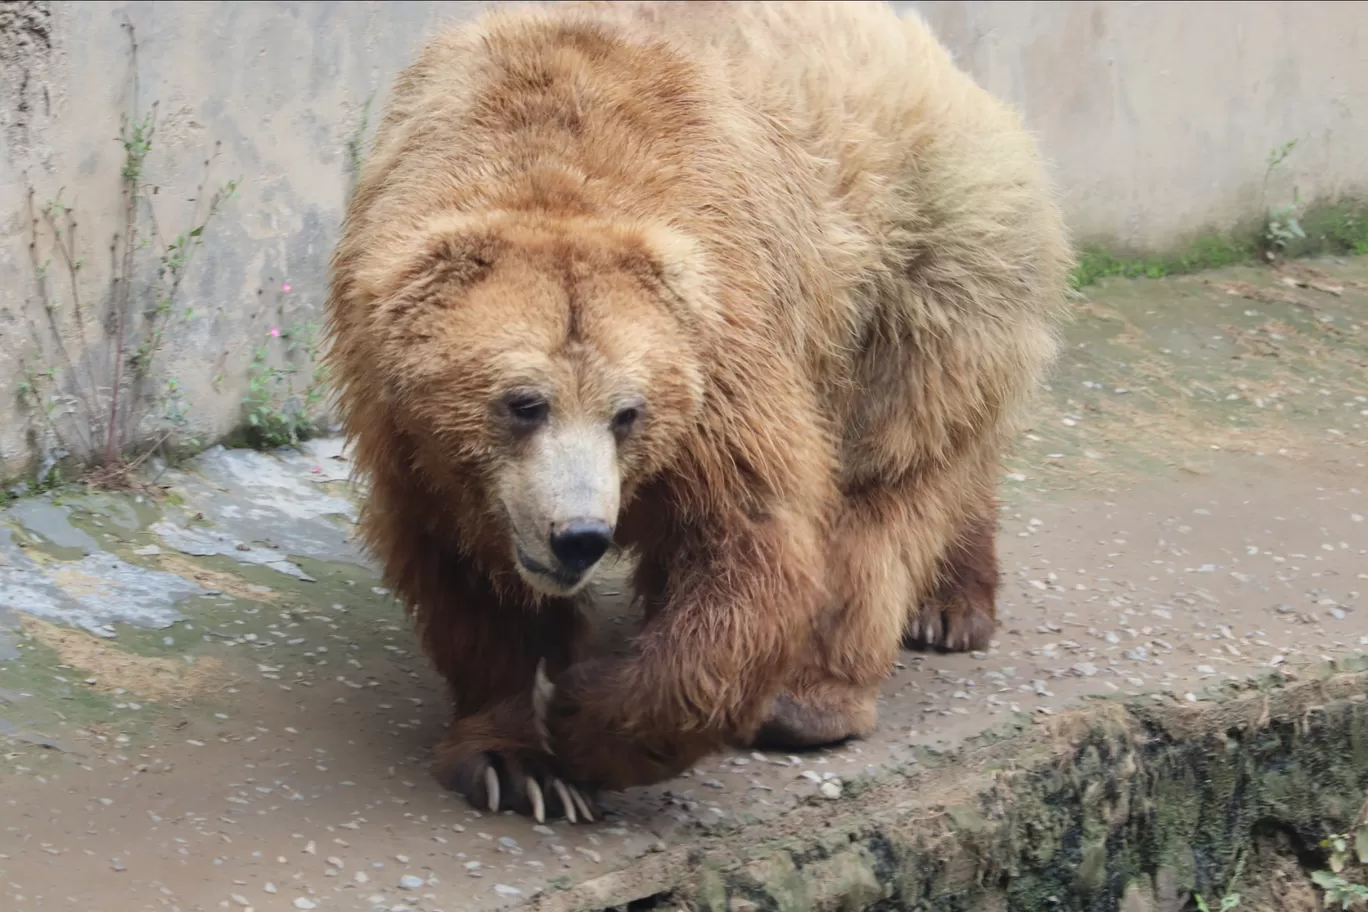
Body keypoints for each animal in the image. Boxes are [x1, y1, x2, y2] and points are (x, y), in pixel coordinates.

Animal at [325, 0, 1072, 825]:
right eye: (524, 403)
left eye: (628, 412)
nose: (579, 536)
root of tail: (949, 65)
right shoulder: (406, 420)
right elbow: (463, 564)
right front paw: (516, 759)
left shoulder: (721, 344)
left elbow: (748, 541)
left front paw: (581, 716)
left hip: (921, 267)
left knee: (888, 477)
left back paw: (829, 686)